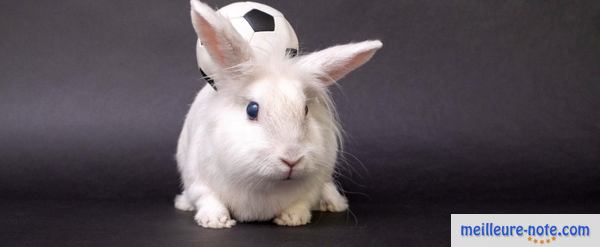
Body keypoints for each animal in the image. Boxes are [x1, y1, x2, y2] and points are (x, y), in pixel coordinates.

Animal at [173, 0, 382, 229]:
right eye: (252, 110)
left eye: (306, 109)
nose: (292, 160)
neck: (264, 184)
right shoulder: (197, 178)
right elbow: (207, 197)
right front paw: (215, 221)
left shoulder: (313, 185)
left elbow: (303, 201)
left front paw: (293, 219)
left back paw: (333, 203)